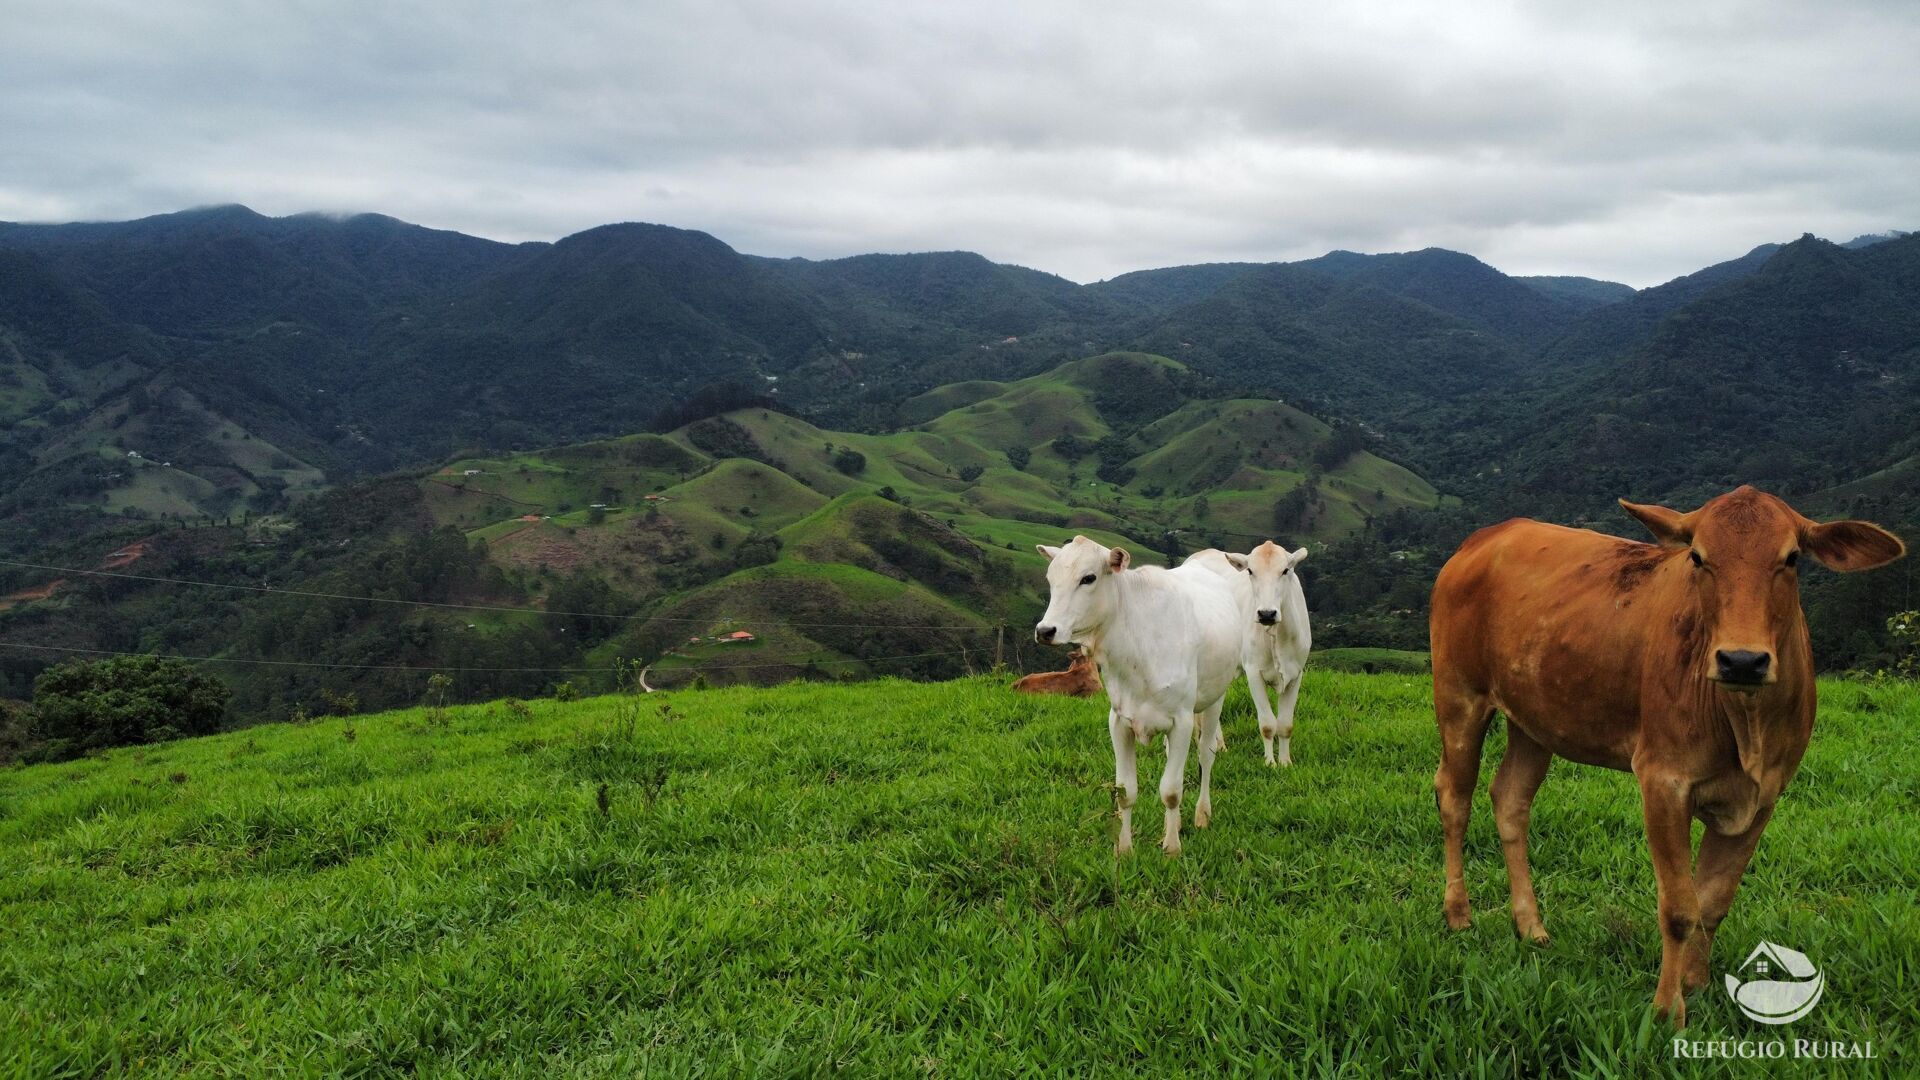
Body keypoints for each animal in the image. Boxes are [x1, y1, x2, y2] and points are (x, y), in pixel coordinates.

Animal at [1036, 534, 1244, 853]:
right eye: (1050, 578)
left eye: (1088, 578)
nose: (1045, 630)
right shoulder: (1119, 721)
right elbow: (1125, 791)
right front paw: (1124, 849)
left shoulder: (1182, 720)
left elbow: (1171, 791)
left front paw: (1172, 849)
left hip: (1214, 700)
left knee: (1205, 755)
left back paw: (1201, 815)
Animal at [1190, 541, 1313, 760]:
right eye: (1250, 571)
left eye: (1285, 570)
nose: (1267, 613)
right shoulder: (1253, 671)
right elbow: (1267, 724)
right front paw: (1270, 762)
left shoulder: (1296, 673)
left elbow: (1285, 725)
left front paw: (1285, 762)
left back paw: (1218, 746)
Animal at [1428, 488, 1904, 1022]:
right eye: (1697, 557)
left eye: (1792, 559)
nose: (1742, 660)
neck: (1747, 726)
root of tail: (1486, 536)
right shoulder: (1662, 780)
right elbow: (1678, 908)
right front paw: (1666, 1011)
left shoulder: (1764, 797)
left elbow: (1712, 901)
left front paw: (1697, 982)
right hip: (1459, 696)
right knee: (1454, 797)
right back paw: (1459, 913)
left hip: (1535, 719)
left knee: (1510, 800)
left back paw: (1530, 926)